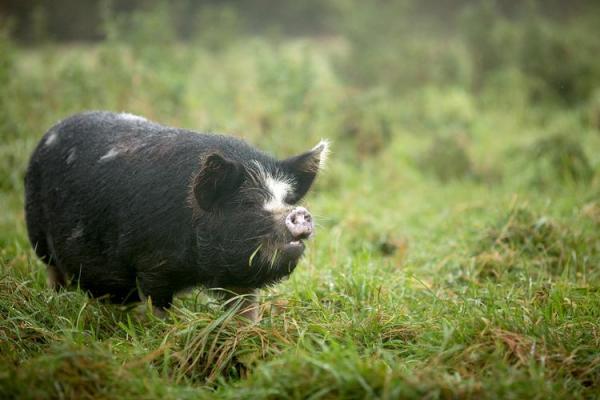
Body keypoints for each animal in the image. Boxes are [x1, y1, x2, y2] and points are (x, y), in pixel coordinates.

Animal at [24, 110, 328, 322]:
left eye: (287, 199)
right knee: (53, 270)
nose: (299, 213)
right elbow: (158, 307)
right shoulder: (150, 265)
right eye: (247, 203)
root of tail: (50, 132)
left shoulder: (240, 278)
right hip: (37, 235)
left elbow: (245, 310)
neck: (199, 270)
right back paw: (57, 301)